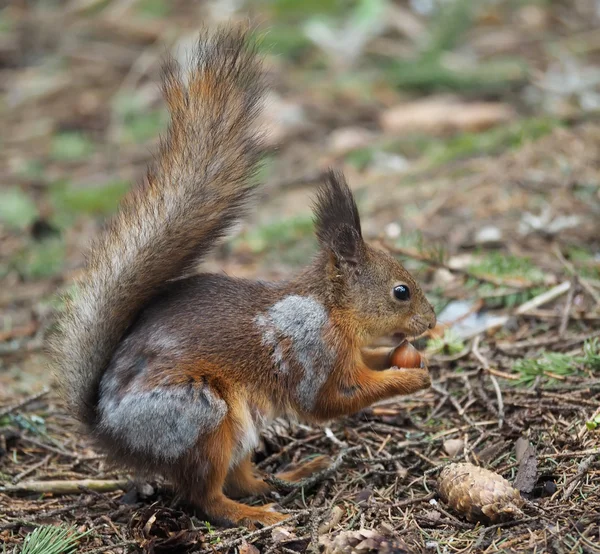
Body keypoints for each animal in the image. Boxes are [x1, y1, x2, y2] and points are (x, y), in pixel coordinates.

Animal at [49, 27, 436, 528]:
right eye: (400, 292)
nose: (432, 322)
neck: (332, 310)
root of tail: (107, 428)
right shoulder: (311, 351)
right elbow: (331, 400)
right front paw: (409, 381)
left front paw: (407, 360)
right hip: (201, 416)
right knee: (206, 496)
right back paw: (256, 515)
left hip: (239, 429)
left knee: (237, 477)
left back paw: (285, 478)